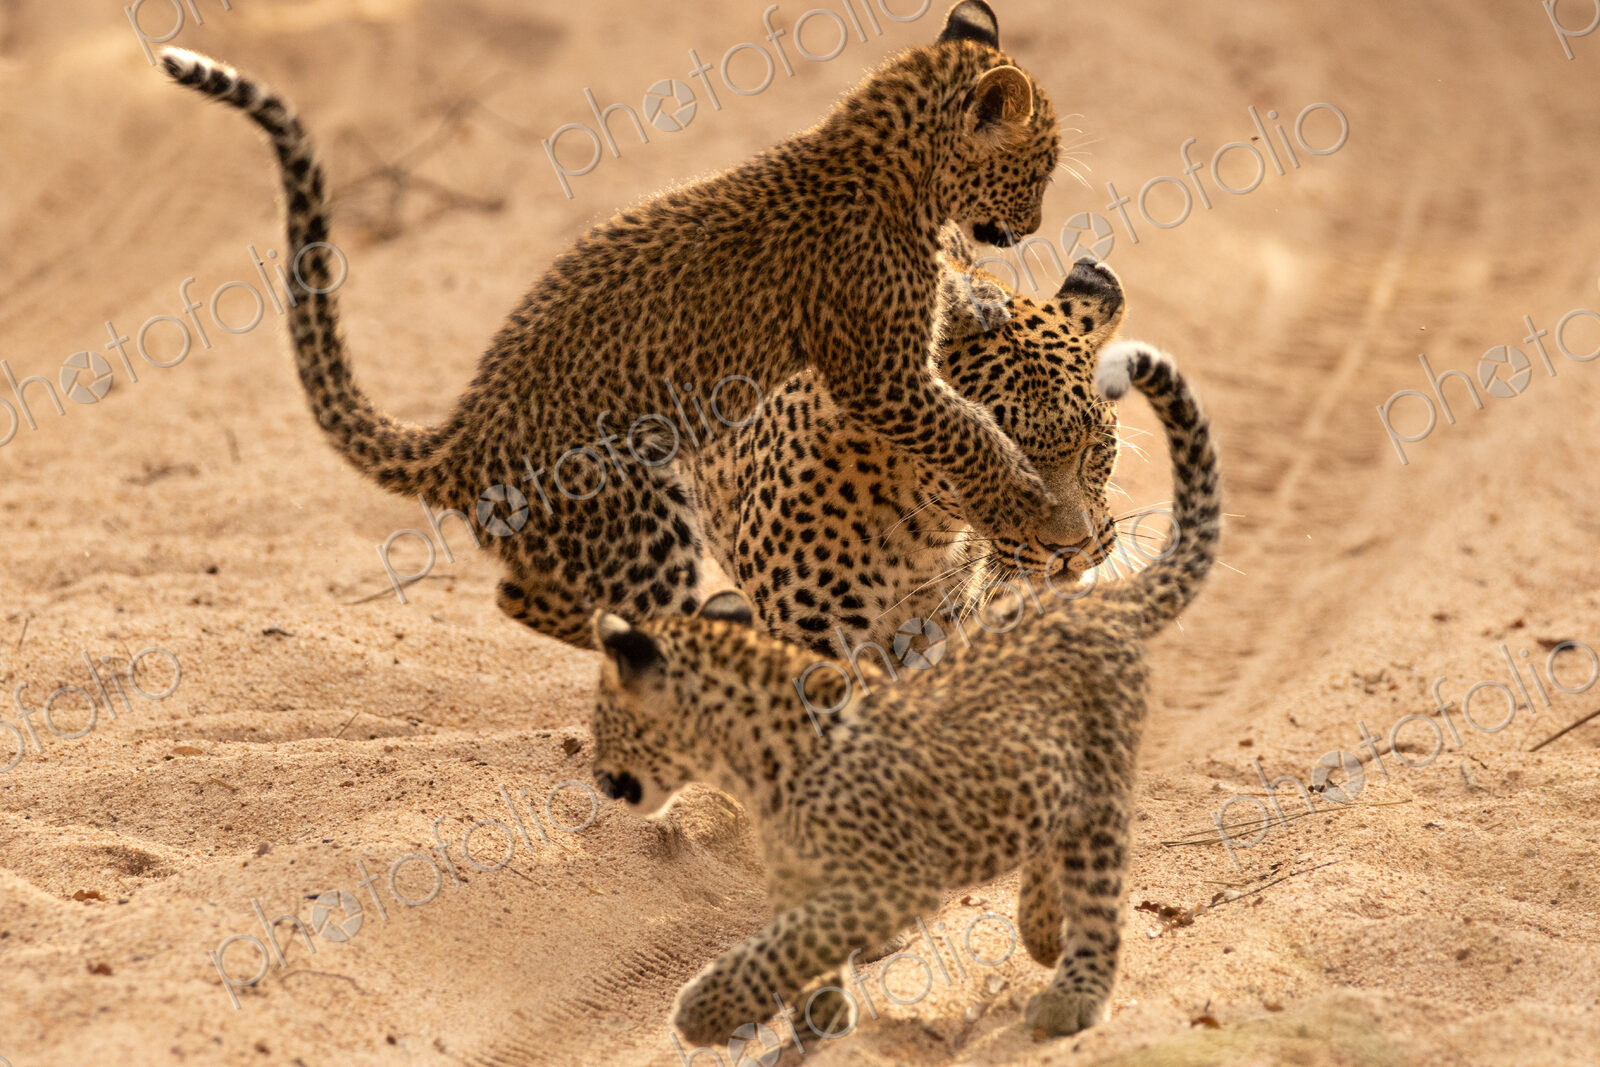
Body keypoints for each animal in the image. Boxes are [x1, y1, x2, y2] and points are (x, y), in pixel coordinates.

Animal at [159, 0, 1066, 650]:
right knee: (542, 597)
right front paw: (1024, 496)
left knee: (527, 591)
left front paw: (976, 297)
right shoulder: (880, 375)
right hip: (633, 500)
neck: (895, 171)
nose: (1030, 226)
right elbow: (964, 429)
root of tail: (460, 440)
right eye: (1042, 168)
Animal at [589, 339, 1221, 1047]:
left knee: (1096, 880)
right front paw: (816, 1011)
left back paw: (1071, 993)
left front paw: (709, 1009)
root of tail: (1100, 606)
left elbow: (796, 941)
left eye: (609, 723)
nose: (602, 779)